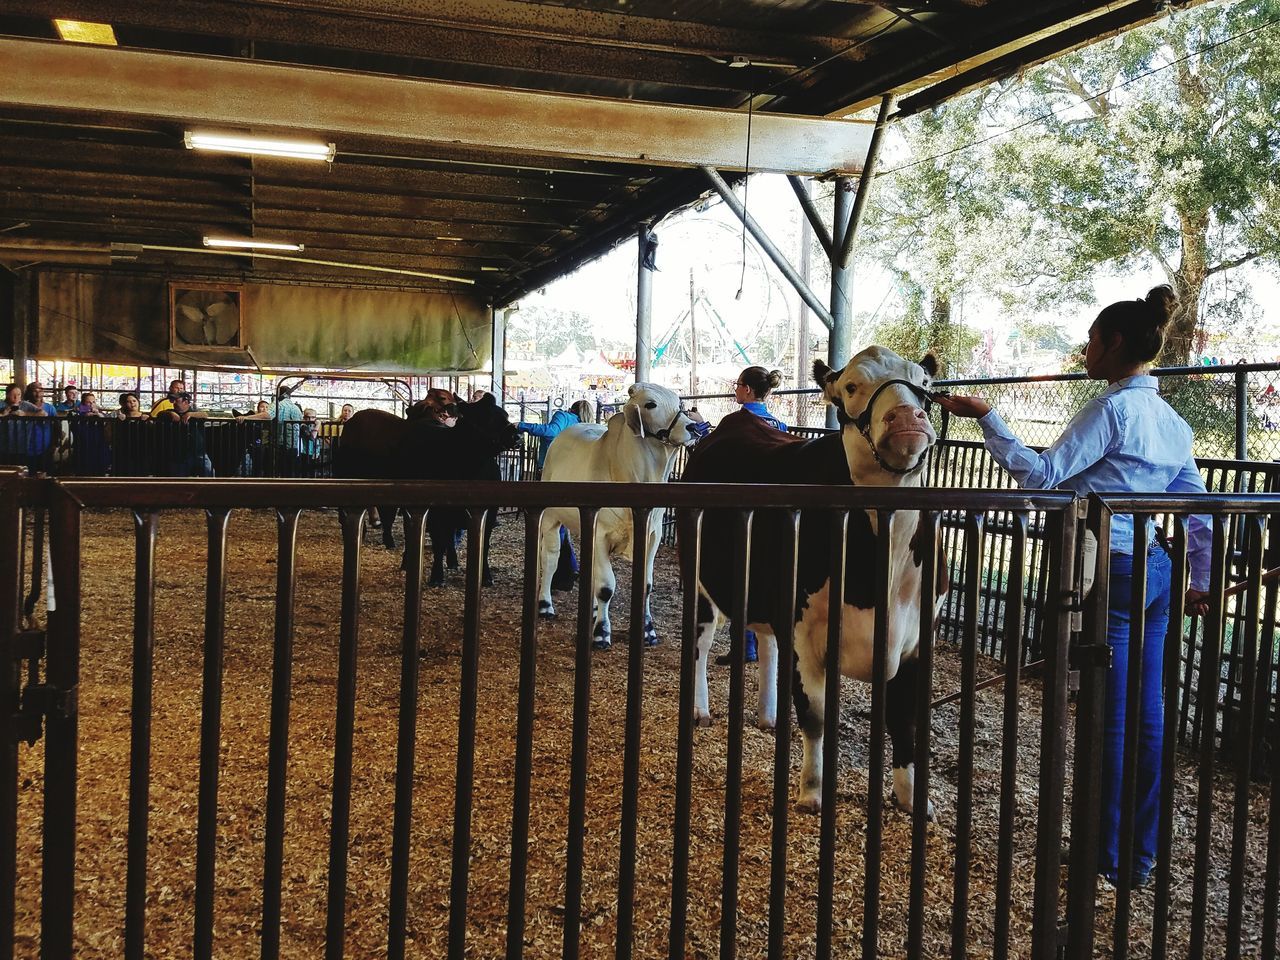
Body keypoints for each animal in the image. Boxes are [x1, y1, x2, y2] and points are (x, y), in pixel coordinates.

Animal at [537, 386, 701, 655]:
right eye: (650, 404)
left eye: (679, 403)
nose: (693, 428)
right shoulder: (600, 534)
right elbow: (606, 587)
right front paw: (602, 634)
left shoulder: (652, 537)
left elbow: (645, 585)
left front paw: (648, 631)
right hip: (551, 519)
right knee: (550, 560)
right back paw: (545, 605)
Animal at [680, 350, 942, 814]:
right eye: (851, 386)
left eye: (924, 383)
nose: (905, 416)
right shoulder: (804, 633)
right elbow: (816, 716)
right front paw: (812, 792)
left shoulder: (916, 639)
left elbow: (904, 719)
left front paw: (912, 798)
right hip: (699, 578)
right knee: (700, 641)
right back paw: (700, 710)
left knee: (766, 642)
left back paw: (767, 715)